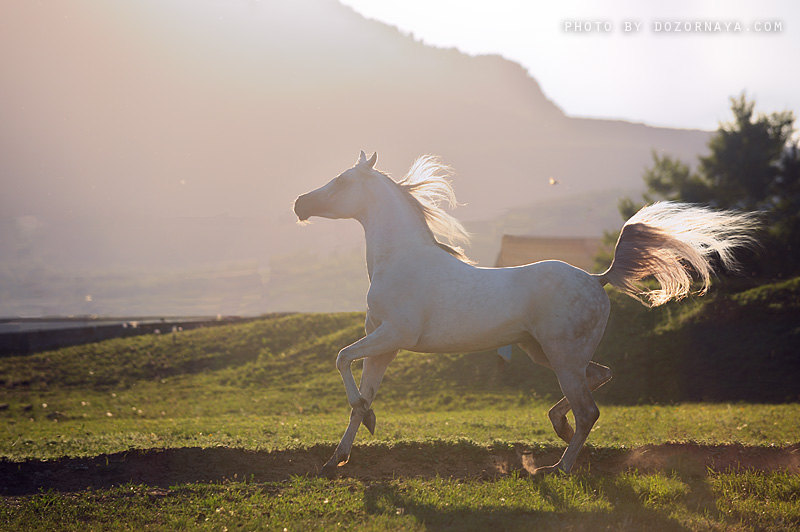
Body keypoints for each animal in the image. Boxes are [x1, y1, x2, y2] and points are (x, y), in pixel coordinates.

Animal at [294, 151, 756, 478]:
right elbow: (360, 398)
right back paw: (558, 427)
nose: (300, 203)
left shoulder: (393, 336)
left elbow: (341, 359)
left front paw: (359, 434)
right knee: (598, 379)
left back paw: (557, 467)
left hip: (561, 356)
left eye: (342, 180)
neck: (400, 261)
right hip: (544, 352)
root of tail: (598, 279)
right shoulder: (383, 346)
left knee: (589, 409)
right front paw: (338, 457)